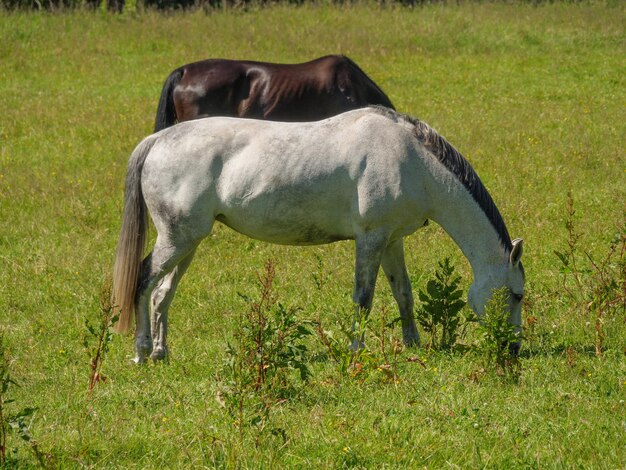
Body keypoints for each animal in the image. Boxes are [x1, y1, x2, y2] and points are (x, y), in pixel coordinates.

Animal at [111, 105, 520, 364]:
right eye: (516, 295)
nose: (512, 347)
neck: (411, 159)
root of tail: (158, 140)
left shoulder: (391, 240)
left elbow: (403, 293)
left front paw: (413, 345)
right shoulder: (370, 239)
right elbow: (363, 299)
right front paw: (356, 350)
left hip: (188, 243)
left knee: (162, 293)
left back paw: (162, 353)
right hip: (176, 240)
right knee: (144, 282)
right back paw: (142, 352)